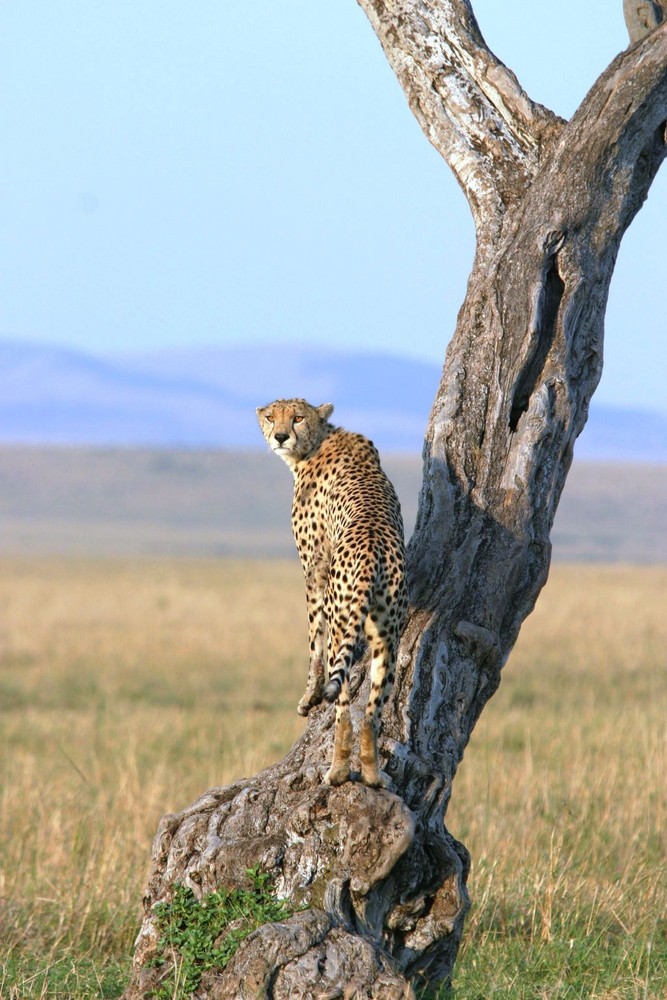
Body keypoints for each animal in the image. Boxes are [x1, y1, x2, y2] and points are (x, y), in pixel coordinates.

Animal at [258, 398, 410, 788]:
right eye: (271, 417)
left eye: (297, 417)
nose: (280, 437)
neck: (319, 441)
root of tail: (373, 554)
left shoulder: (315, 567)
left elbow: (314, 638)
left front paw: (308, 697)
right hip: (388, 636)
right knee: (371, 712)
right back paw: (371, 773)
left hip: (343, 616)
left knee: (343, 705)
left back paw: (338, 770)